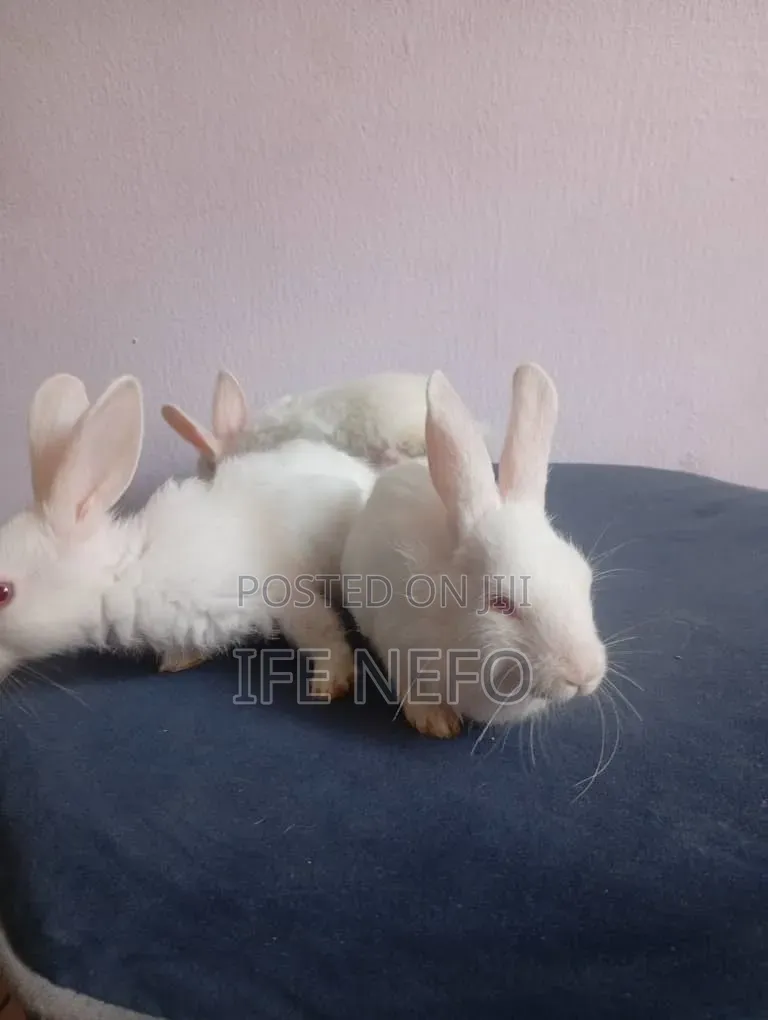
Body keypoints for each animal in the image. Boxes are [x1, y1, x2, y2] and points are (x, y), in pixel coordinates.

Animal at [0, 372, 376, 698]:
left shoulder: (283, 594)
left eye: (4, 592)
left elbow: (322, 632)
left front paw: (330, 685)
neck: (128, 574)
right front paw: (177, 663)